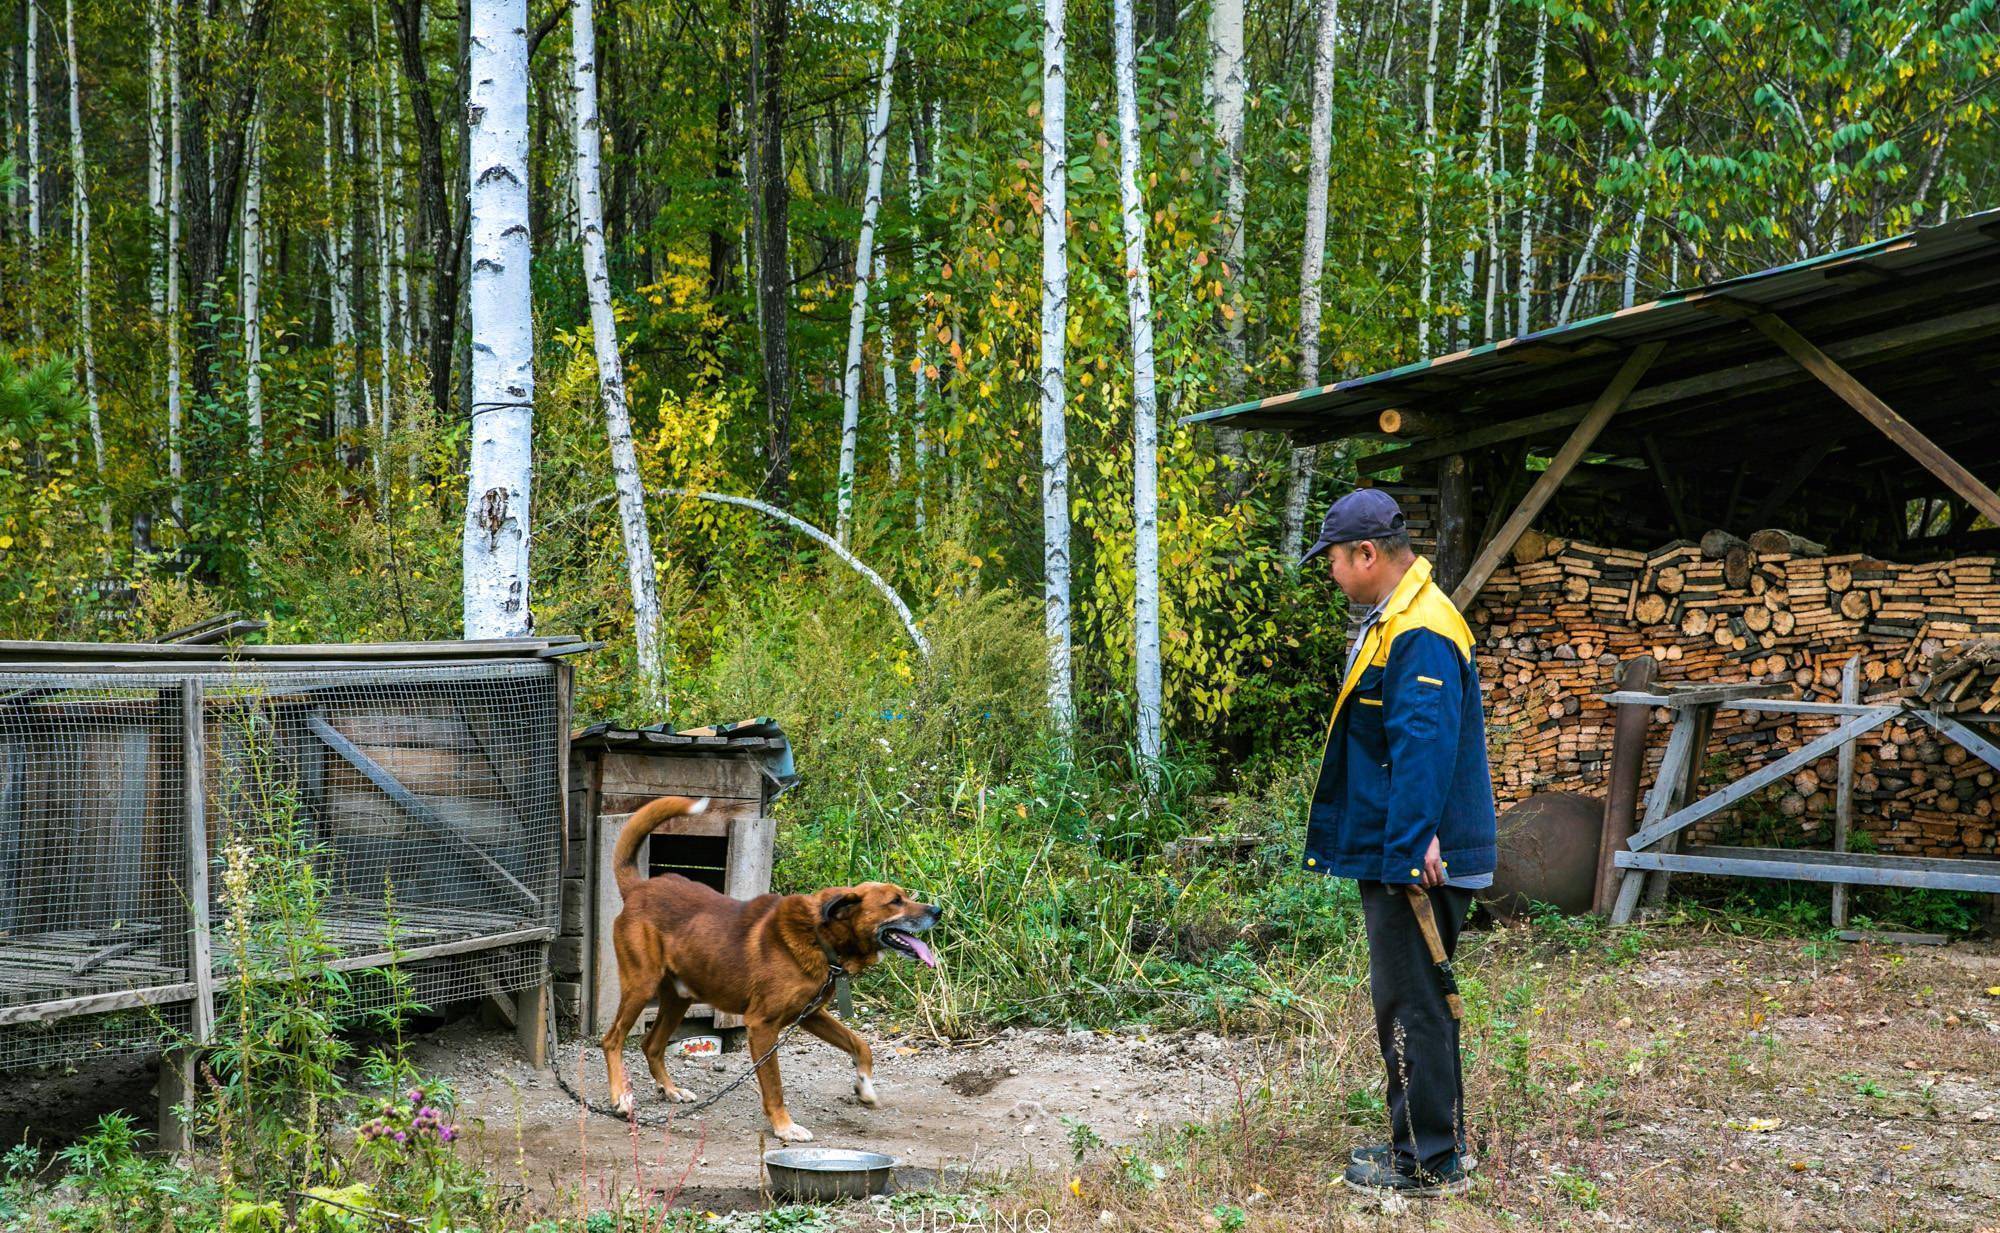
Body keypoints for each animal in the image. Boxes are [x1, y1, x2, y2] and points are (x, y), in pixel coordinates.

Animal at [596, 796, 940, 1144]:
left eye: (905, 896)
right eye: (895, 901)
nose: (937, 910)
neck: (819, 937)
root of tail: (638, 888)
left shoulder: (812, 1014)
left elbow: (861, 1044)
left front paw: (865, 1087)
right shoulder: (762, 1025)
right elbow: (774, 1086)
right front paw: (785, 1127)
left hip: (680, 998)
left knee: (651, 1045)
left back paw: (671, 1090)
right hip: (641, 986)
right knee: (612, 1040)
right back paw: (620, 1098)